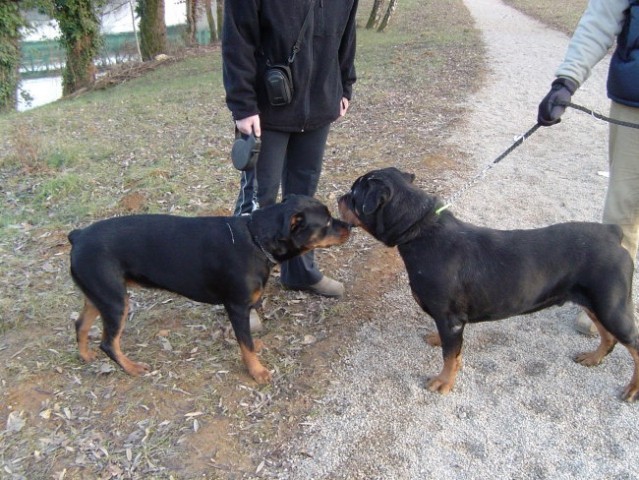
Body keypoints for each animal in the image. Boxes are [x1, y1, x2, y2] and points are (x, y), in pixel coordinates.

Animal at [69, 193, 350, 384]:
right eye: (326, 223)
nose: (349, 226)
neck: (255, 240)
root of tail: (78, 236)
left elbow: (247, 338)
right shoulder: (236, 306)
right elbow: (245, 343)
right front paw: (257, 371)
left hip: (99, 295)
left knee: (81, 324)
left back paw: (85, 356)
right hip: (115, 301)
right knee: (108, 343)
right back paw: (132, 367)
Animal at [340, 167, 639, 400]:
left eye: (354, 195)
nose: (339, 196)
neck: (420, 231)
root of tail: (613, 233)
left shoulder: (451, 319)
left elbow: (450, 356)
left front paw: (444, 382)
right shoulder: (450, 322)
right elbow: (452, 350)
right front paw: (441, 347)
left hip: (611, 307)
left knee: (633, 345)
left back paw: (632, 389)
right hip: (596, 304)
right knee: (608, 337)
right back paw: (593, 358)